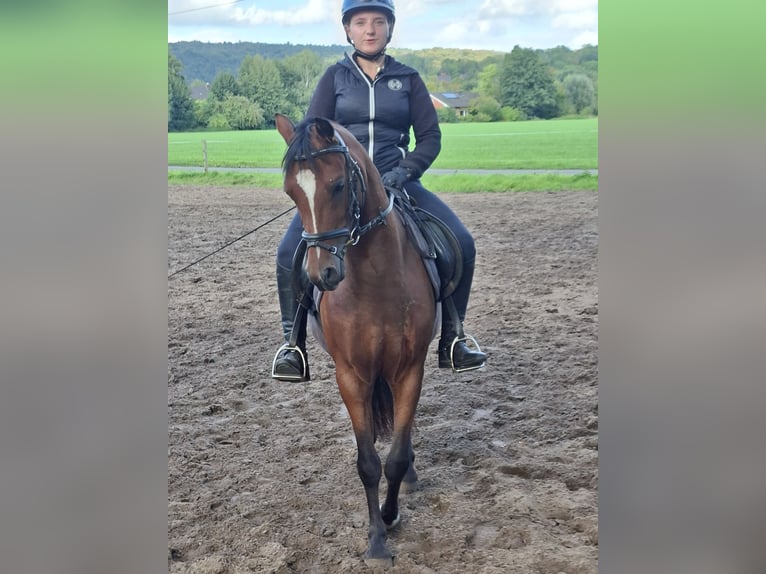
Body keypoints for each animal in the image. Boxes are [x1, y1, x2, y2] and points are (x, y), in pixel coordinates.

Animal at [275, 113, 436, 566]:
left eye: (337, 185)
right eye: (291, 191)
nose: (322, 275)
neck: (375, 278)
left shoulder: (409, 370)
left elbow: (393, 458)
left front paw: (391, 515)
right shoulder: (351, 375)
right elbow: (368, 463)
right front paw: (376, 539)